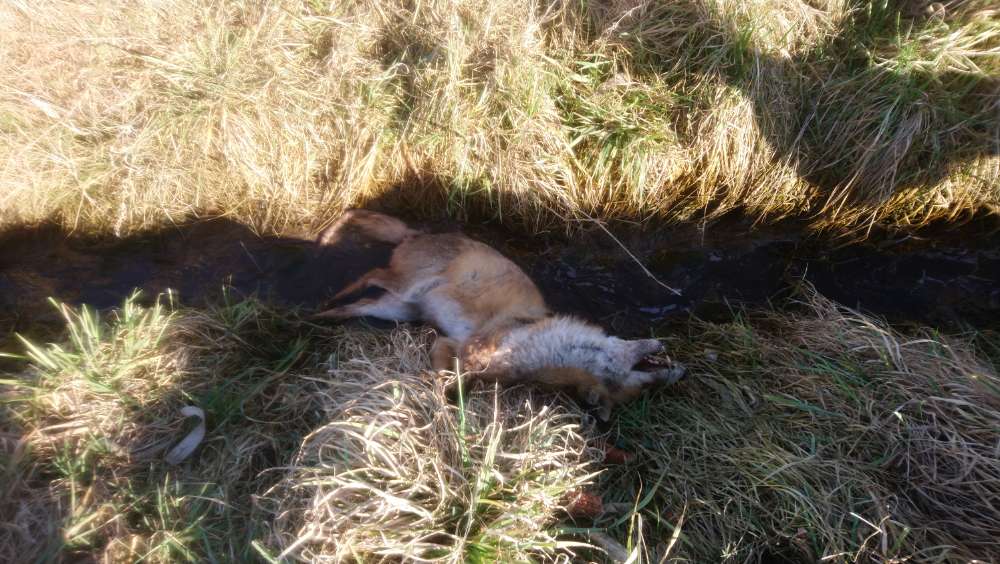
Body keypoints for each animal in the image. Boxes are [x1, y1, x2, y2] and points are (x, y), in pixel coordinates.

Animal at [314, 209, 685, 420]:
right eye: (648, 381)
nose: (680, 371)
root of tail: (418, 234)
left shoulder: (453, 346)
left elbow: (455, 380)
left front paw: (445, 402)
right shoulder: (475, 344)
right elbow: (451, 380)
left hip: (397, 310)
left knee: (359, 303)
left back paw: (324, 316)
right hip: (406, 289)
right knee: (369, 274)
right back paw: (328, 295)